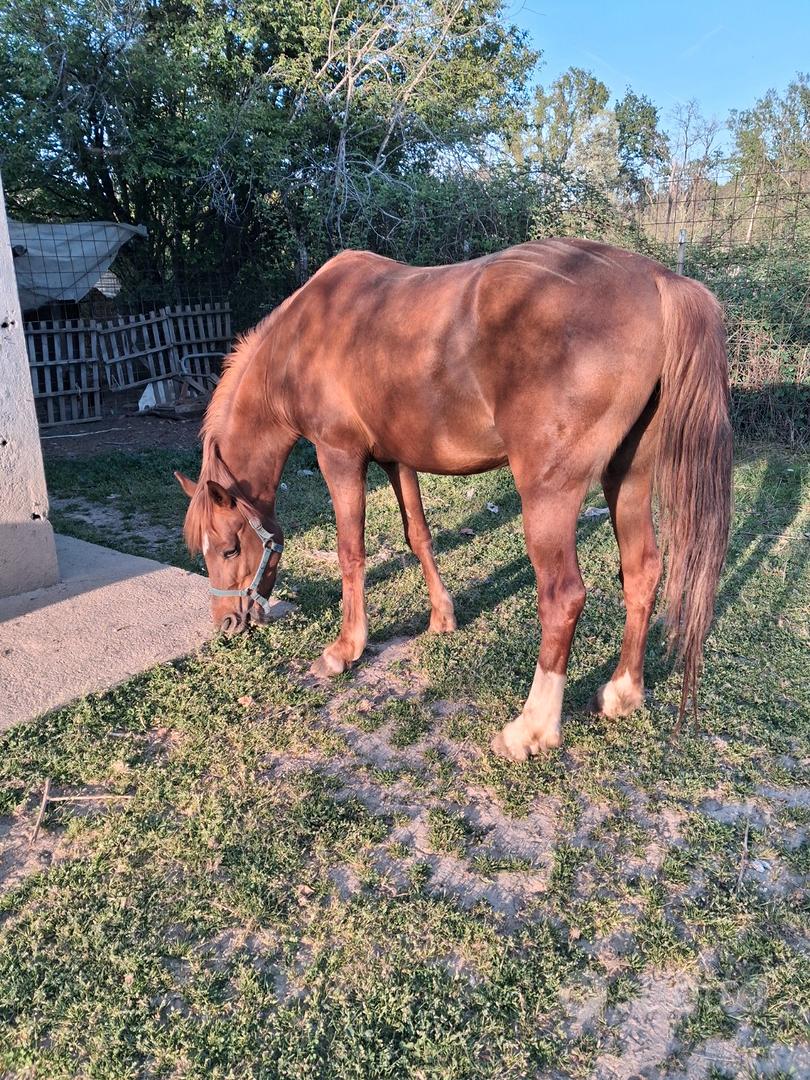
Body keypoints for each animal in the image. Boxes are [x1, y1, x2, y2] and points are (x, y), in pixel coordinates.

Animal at [175, 238, 732, 761]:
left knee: (563, 597)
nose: (227, 624)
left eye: (228, 547)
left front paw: (345, 649)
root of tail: (659, 280)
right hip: (628, 477)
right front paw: (442, 618)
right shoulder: (397, 459)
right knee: (642, 571)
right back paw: (621, 694)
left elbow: (351, 552)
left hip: (548, 494)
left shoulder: (340, 456)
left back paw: (530, 729)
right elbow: (418, 535)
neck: (302, 340)